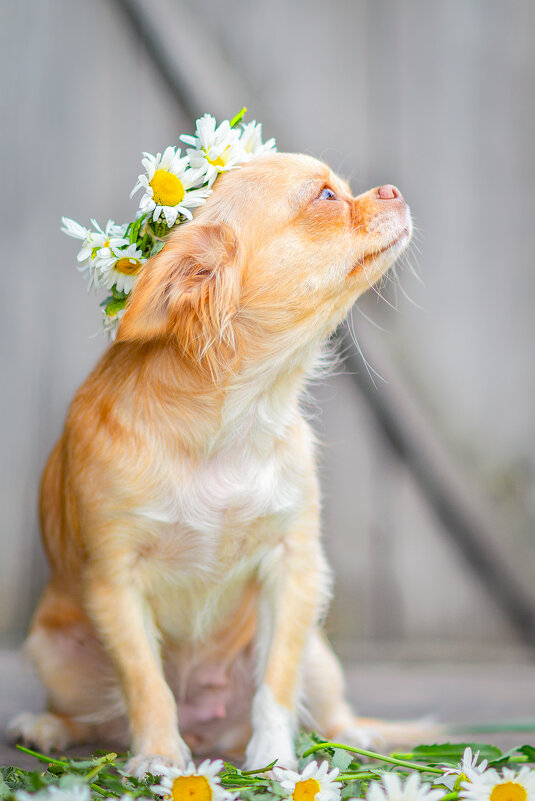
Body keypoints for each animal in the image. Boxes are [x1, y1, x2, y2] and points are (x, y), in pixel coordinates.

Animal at [9, 152, 418, 776]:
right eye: (326, 197)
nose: (392, 189)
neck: (240, 413)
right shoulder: (114, 582)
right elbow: (145, 681)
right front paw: (158, 756)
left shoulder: (294, 569)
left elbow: (277, 681)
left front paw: (275, 762)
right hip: (52, 651)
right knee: (93, 718)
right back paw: (49, 726)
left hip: (321, 656)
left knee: (323, 706)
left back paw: (353, 738)